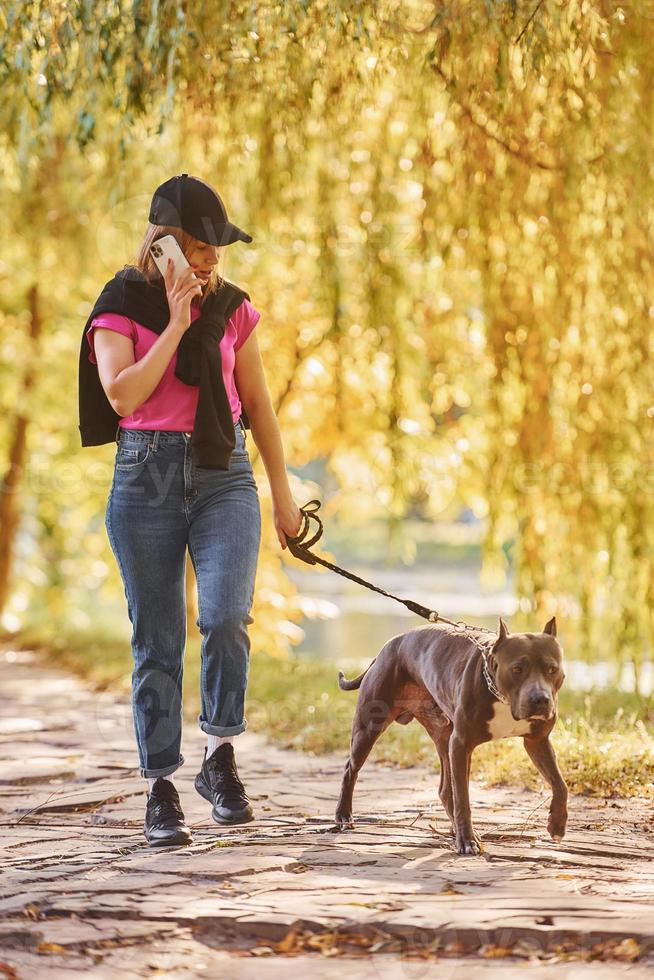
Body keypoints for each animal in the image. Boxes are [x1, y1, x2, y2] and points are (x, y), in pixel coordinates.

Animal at [336, 616, 568, 852]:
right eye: (517, 669)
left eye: (552, 669)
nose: (540, 699)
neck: (502, 697)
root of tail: (386, 647)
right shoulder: (461, 744)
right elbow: (463, 798)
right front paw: (467, 841)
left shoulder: (537, 742)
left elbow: (560, 785)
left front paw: (557, 824)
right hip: (369, 728)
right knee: (350, 769)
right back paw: (344, 815)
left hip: (443, 736)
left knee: (446, 789)